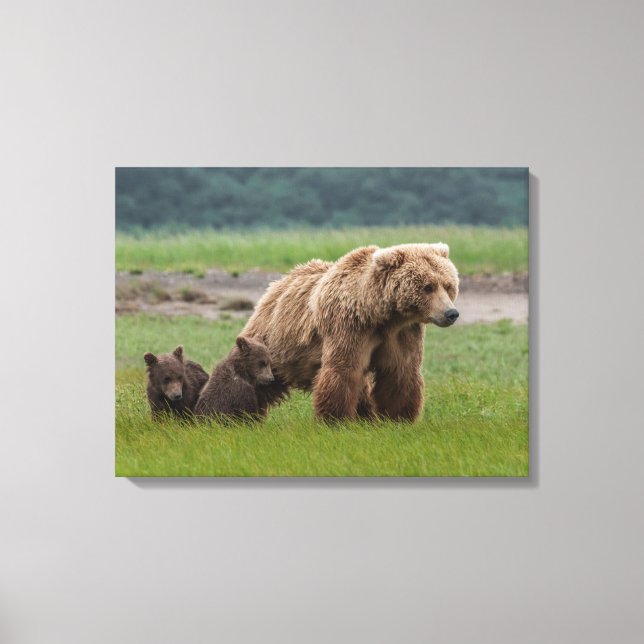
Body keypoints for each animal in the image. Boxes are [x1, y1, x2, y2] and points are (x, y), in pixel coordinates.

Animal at [241, 243, 459, 422]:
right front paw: (335, 418)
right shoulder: (349, 327)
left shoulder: (401, 333)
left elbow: (400, 372)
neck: (379, 314)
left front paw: (398, 417)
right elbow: (344, 370)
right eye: (428, 287)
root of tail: (279, 282)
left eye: (448, 285)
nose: (451, 313)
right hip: (277, 343)